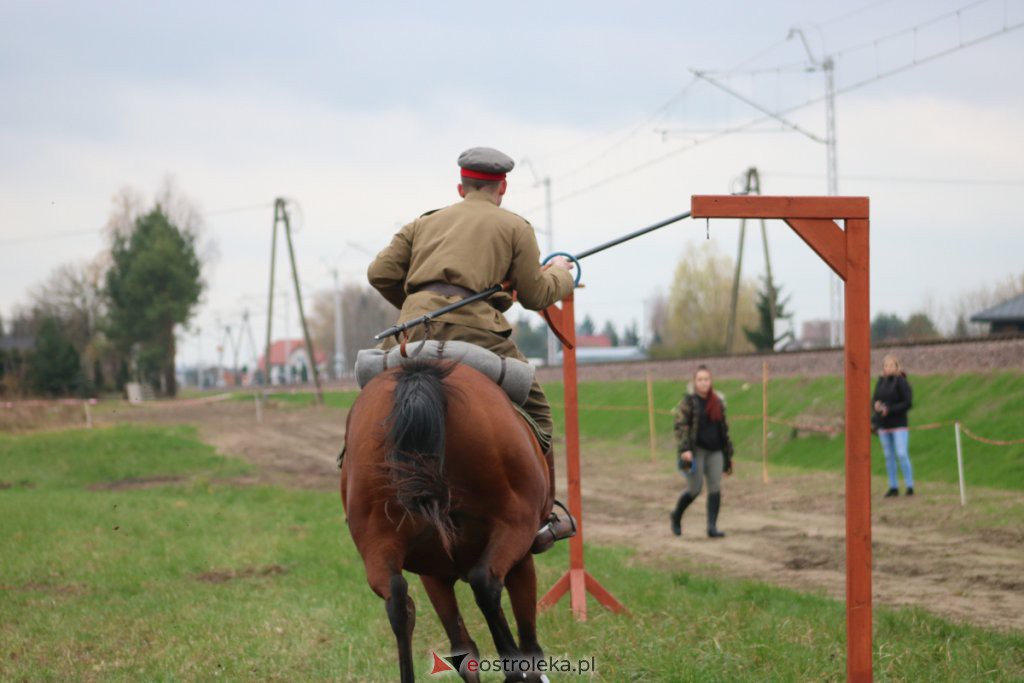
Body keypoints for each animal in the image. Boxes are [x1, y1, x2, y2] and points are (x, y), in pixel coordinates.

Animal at [342, 360, 552, 679]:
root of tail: (418, 376)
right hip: (513, 529)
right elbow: (528, 642)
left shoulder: (433, 574)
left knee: (397, 601)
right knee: (485, 584)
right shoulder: (521, 558)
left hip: (379, 543)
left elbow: (463, 649)